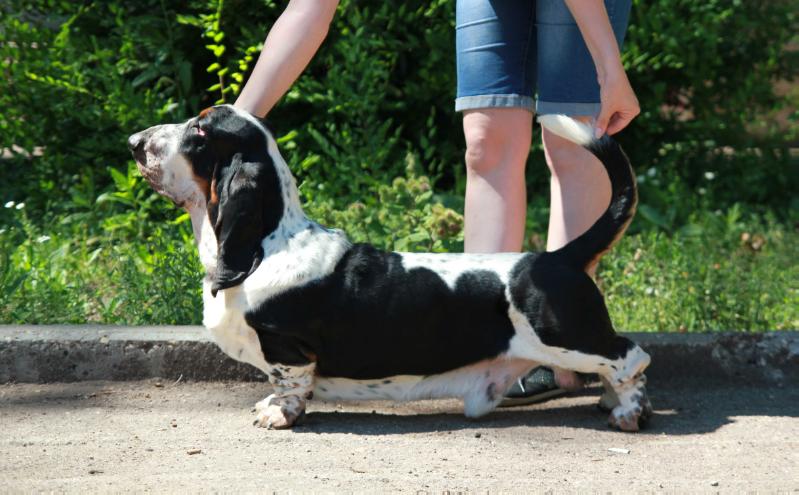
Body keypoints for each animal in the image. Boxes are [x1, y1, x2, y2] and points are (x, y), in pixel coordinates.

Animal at [128, 103, 652, 430]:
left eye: (199, 131)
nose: (134, 140)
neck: (267, 244)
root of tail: (560, 256)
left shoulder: (286, 346)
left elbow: (289, 383)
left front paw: (279, 414)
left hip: (564, 337)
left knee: (630, 357)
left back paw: (626, 411)